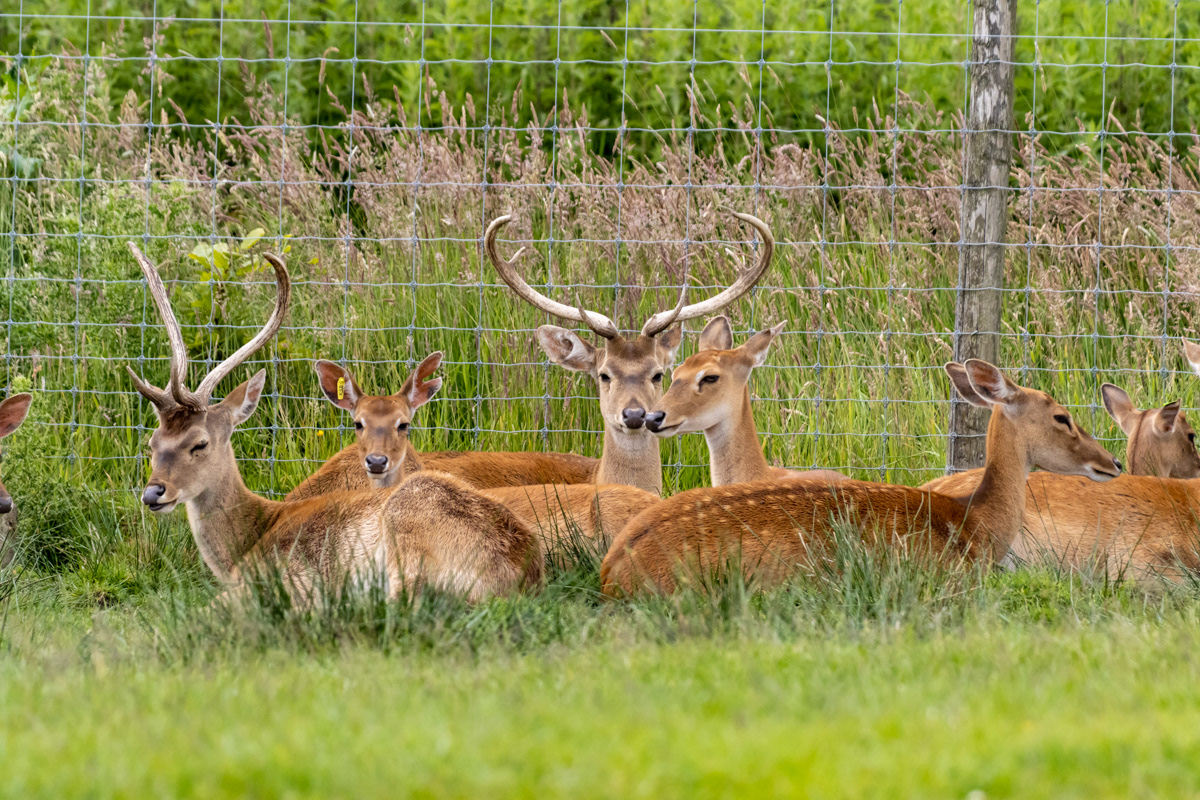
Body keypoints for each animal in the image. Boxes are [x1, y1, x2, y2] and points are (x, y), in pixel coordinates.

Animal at [125, 242, 541, 604]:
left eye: (199, 443)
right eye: (152, 444)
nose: (153, 493)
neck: (248, 540)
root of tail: (521, 575)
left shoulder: (284, 573)